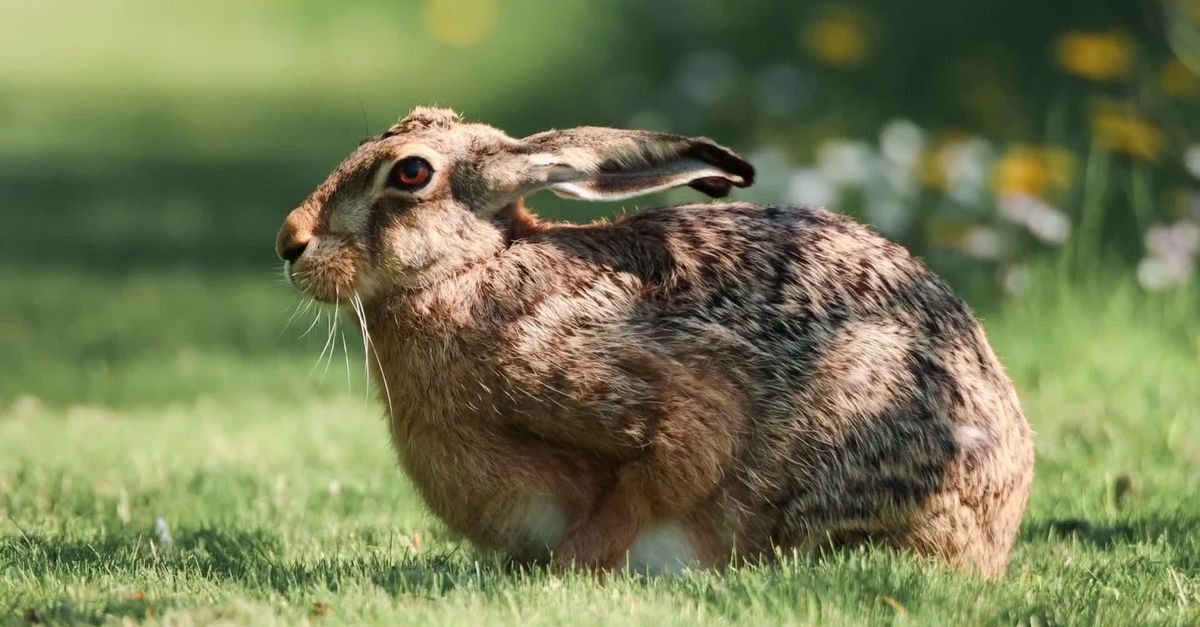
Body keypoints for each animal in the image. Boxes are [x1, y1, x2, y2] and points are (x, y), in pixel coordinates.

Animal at [276, 107, 1034, 577]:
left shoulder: (658, 395)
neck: (472, 269)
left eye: (410, 173)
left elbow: (666, 467)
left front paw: (576, 567)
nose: (290, 243)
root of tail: (1004, 518)